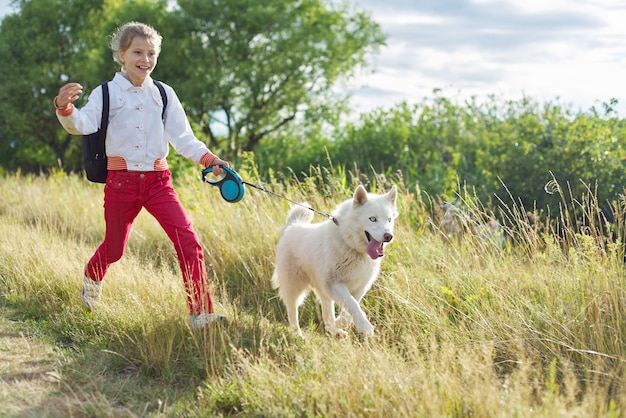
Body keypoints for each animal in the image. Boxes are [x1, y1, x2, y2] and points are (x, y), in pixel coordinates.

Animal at [270, 185, 398, 338]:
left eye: (389, 220)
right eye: (373, 219)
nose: (388, 236)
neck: (351, 245)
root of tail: (292, 226)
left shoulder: (360, 287)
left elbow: (351, 306)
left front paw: (342, 322)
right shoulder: (335, 284)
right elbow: (352, 304)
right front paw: (365, 327)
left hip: (323, 290)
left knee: (327, 314)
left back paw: (335, 330)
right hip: (294, 286)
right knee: (292, 310)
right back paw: (298, 335)